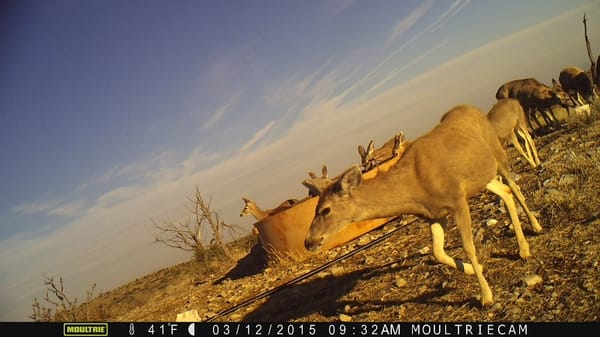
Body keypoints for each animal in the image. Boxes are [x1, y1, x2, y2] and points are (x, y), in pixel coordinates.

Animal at [302, 103, 540, 306]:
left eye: (325, 209)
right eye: (315, 209)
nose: (308, 241)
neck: (415, 187)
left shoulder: (456, 199)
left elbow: (468, 247)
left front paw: (486, 296)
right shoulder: (433, 213)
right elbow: (437, 252)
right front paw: (474, 269)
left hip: (498, 153)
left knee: (513, 186)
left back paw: (534, 232)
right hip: (482, 175)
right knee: (505, 193)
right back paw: (523, 247)